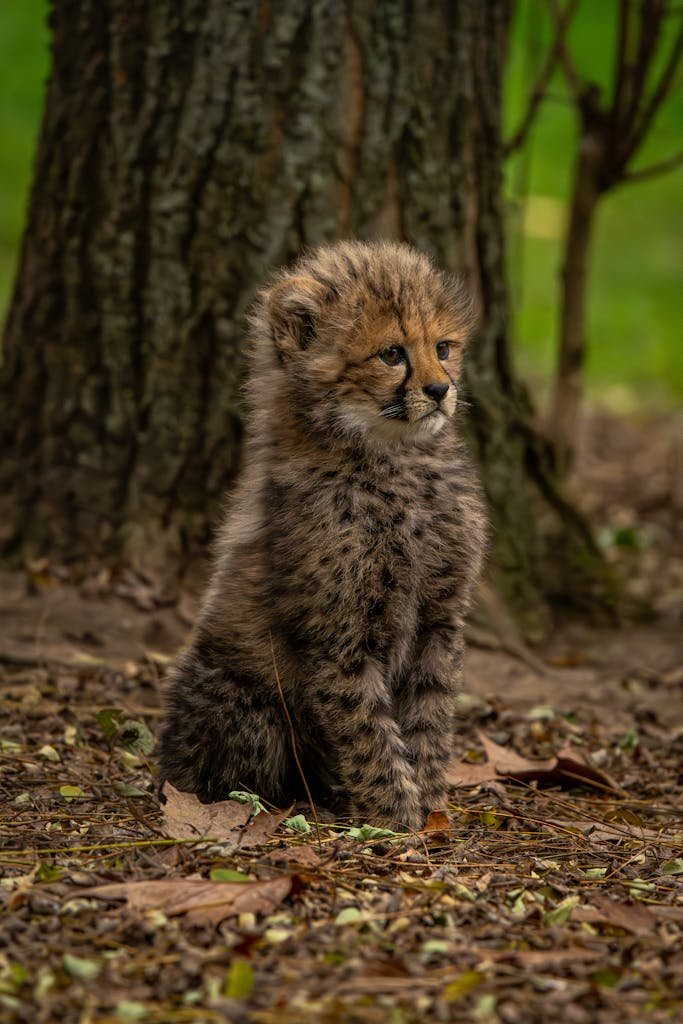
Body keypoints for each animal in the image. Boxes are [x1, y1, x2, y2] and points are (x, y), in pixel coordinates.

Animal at [159, 240, 487, 831]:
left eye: (443, 348)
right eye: (392, 354)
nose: (439, 390)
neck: (394, 461)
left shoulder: (440, 618)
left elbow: (429, 714)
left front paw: (429, 802)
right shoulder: (339, 636)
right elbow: (366, 727)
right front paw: (395, 813)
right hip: (245, 701)